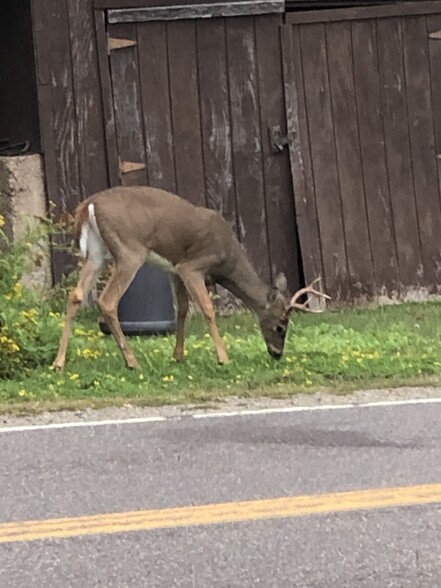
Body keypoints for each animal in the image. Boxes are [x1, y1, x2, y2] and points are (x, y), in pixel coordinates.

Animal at [52, 186, 330, 370]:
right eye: (281, 325)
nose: (277, 354)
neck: (228, 258)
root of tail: (88, 205)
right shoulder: (192, 266)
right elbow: (207, 308)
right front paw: (223, 358)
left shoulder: (175, 269)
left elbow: (183, 310)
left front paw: (178, 355)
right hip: (130, 250)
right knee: (107, 301)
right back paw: (132, 362)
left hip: (97, 253)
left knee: (76, 295)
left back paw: (59, 362)